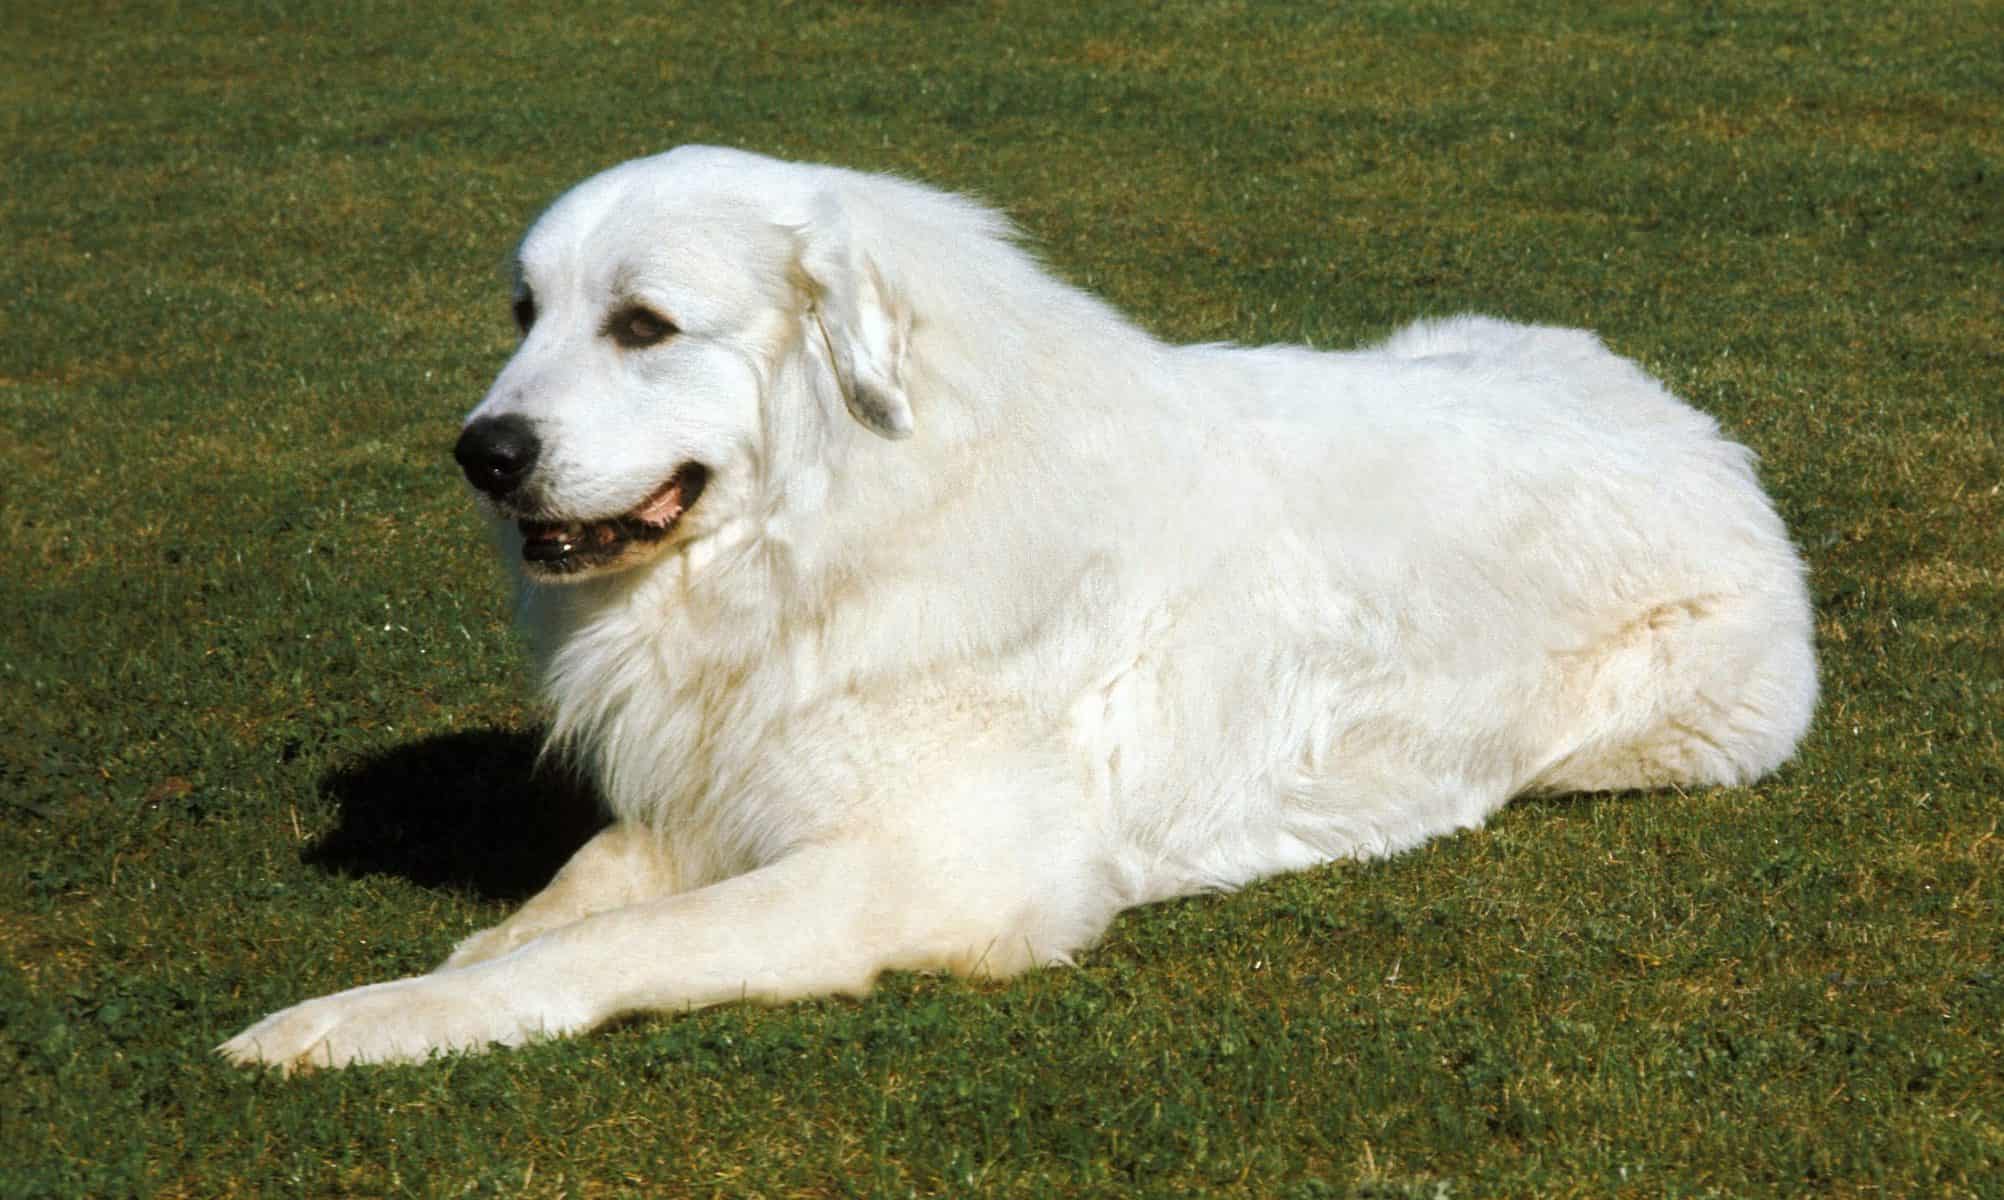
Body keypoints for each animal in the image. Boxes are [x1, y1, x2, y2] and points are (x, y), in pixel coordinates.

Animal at [219, 145, 1819, 1073]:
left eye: (642, 327)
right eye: (524, 315)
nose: (480, 453)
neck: (849, 521)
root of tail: (1693, 421)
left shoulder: (927, 874)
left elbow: (613, 947)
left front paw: (355, 1023)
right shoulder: (721, 782)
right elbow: (585, 885)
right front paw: (465, 959)